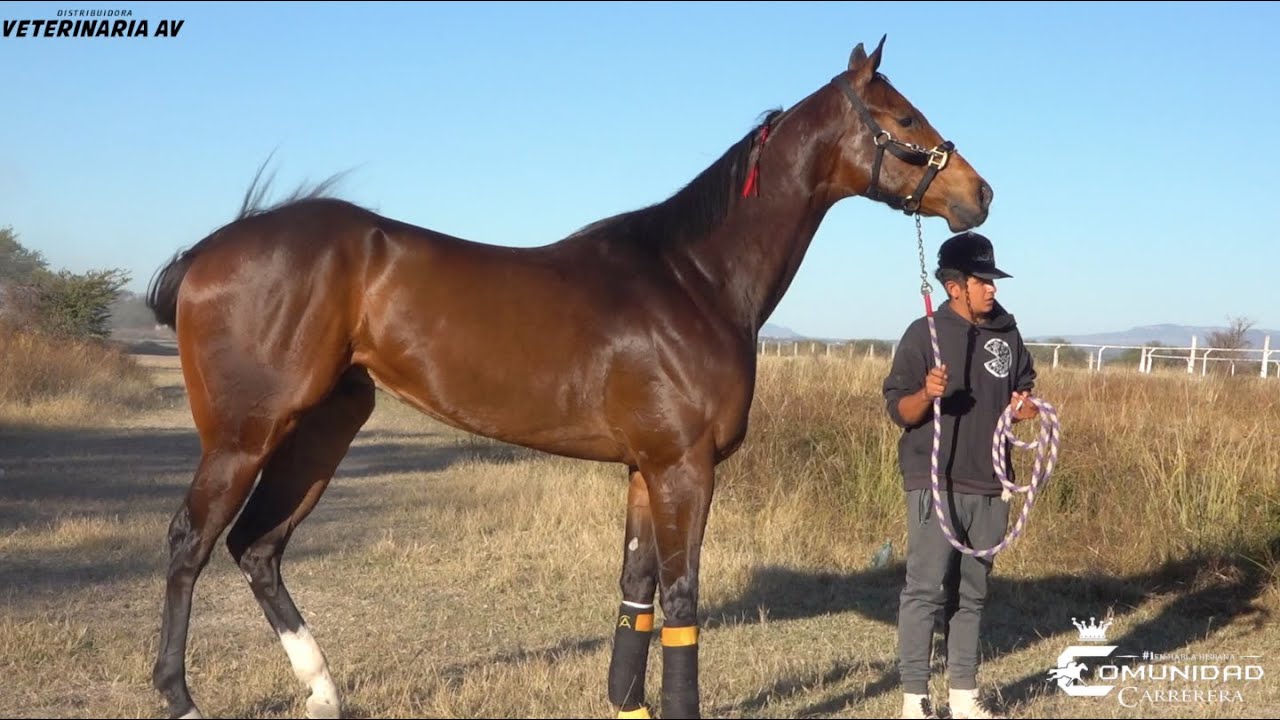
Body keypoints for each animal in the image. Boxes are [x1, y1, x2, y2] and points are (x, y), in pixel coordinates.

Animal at [145, 36, 991, 720]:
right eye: (905, 117)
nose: (978, 194)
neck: (692, 276)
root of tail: (207, 250)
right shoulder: (685, 468)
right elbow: (680, 597)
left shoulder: (645, 471)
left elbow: (636, 592)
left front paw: (629, 703)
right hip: (245, 436)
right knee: (191, 542)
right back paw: (181, 698)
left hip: (325, 425)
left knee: (258, 546)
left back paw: (323, 692)